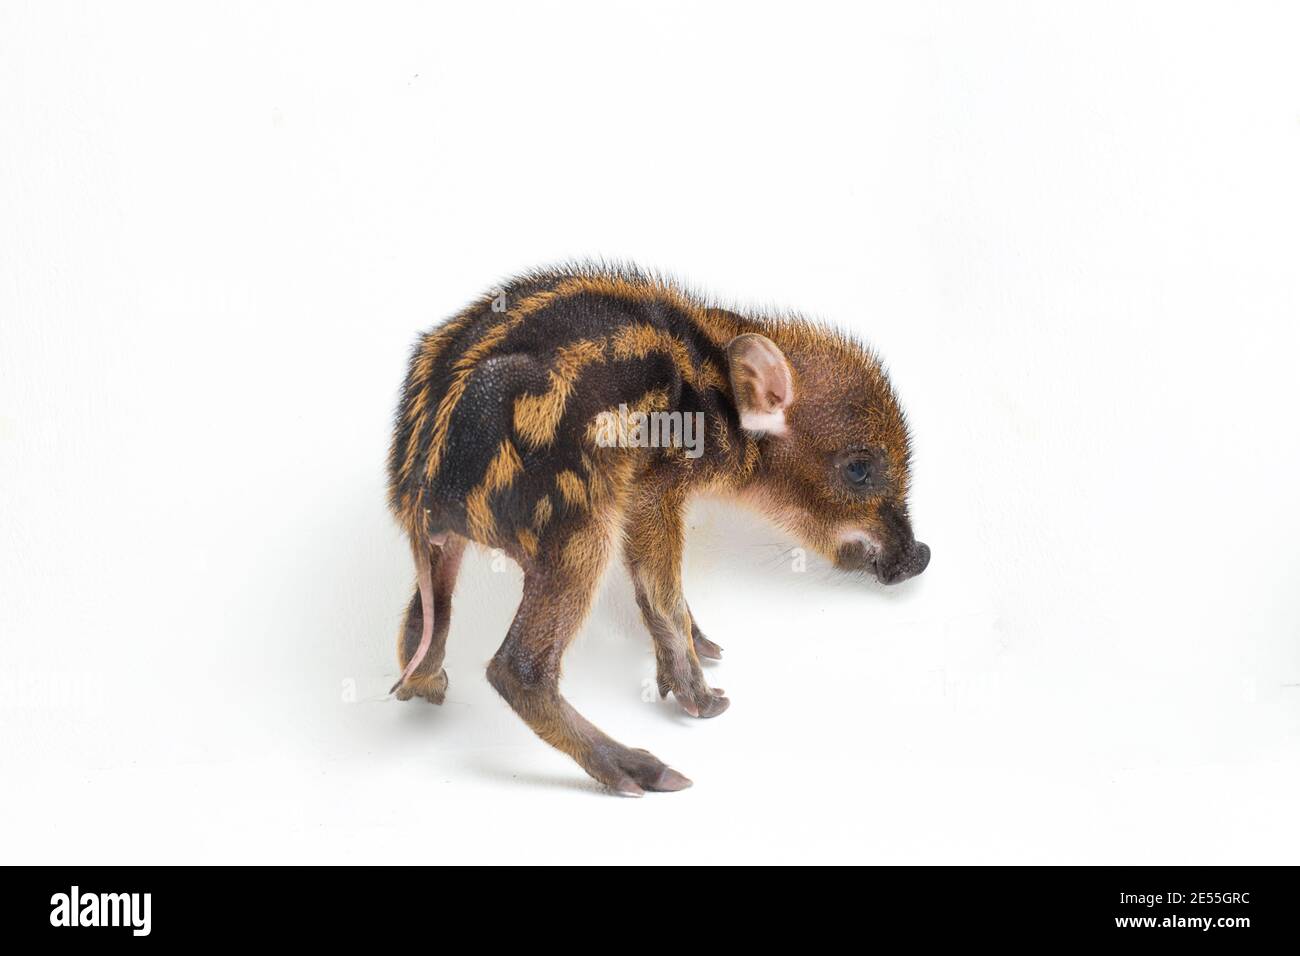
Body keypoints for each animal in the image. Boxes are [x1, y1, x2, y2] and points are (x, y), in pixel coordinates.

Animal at [386, 266, 929, 795]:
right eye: (858, 469)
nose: (918, 556)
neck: (718, 404)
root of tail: (423, 486)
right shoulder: (654, 487)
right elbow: (659, 586)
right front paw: (705, 700)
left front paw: (706, 648)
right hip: (578, 530)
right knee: (517, 669)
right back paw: (643, 772)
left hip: (460, 548)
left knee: (424, 624)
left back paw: (427, 687)